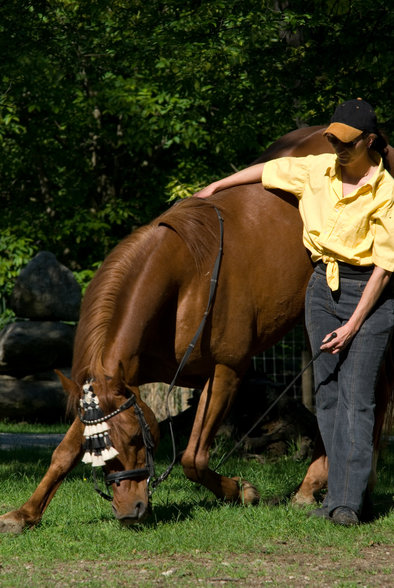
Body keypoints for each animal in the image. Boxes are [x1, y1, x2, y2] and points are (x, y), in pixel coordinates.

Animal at [1, 125, 392, 532]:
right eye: (99, 447)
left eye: (137, 439)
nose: (129, 511)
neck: (188, 278)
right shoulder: (118, 383)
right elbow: (64, 452)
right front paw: (23, 514)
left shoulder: (226, 371)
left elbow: (192, 458)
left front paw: (242, 491)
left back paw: (337, 487)